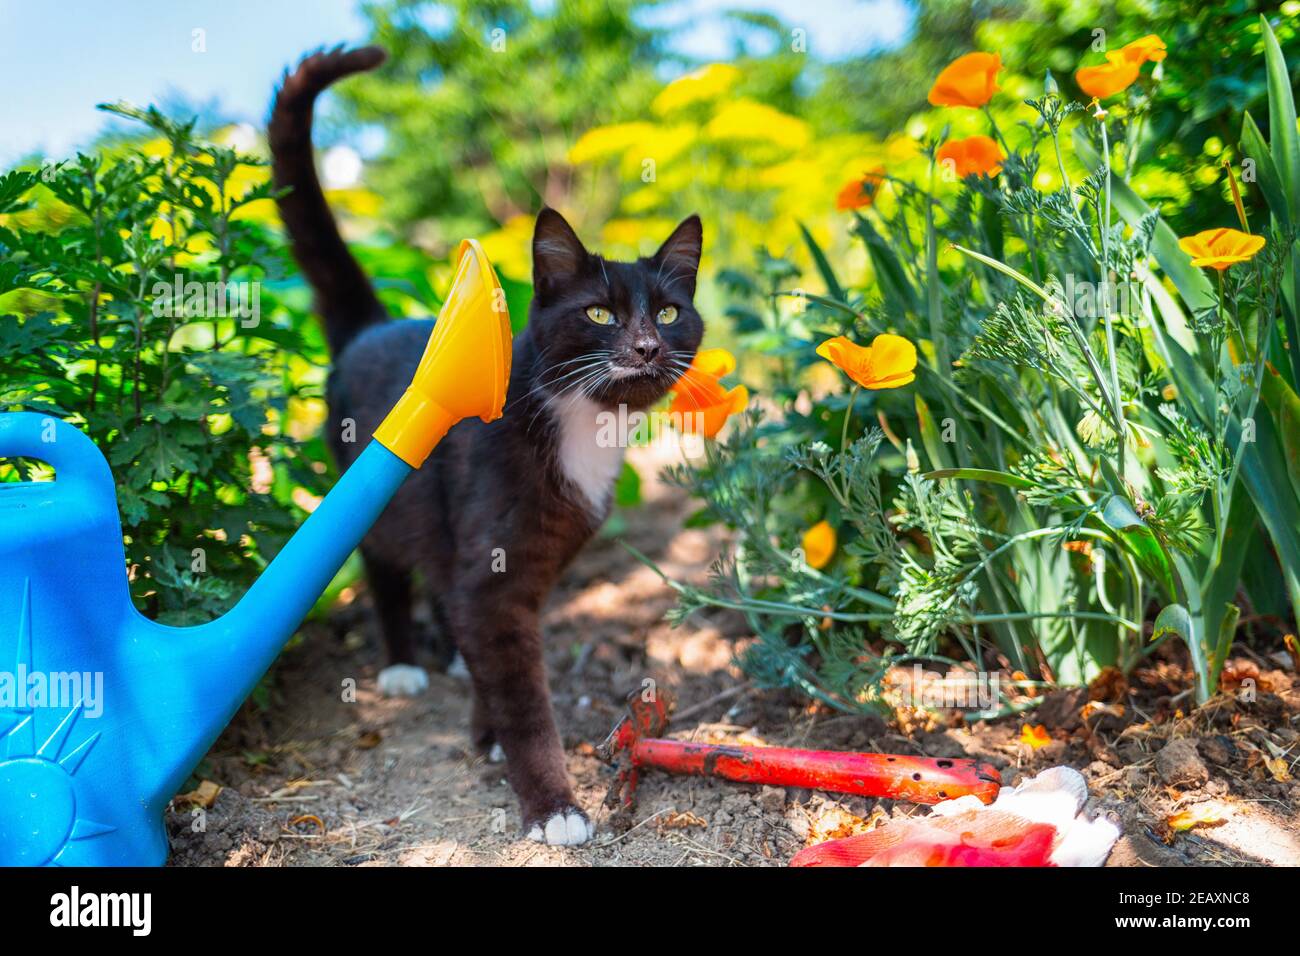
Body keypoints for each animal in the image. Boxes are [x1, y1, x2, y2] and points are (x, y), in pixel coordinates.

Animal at [267, 50, 707, 842]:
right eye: (600, 314)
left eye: (667, 312)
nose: (648, 347)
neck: (577, 421)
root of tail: (371, 326)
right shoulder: (493, 573)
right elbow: (522, 694)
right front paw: (552, 805)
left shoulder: (526, 566)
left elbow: (495, 657)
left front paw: (487, 731)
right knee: (385, 564)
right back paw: (404, 662)